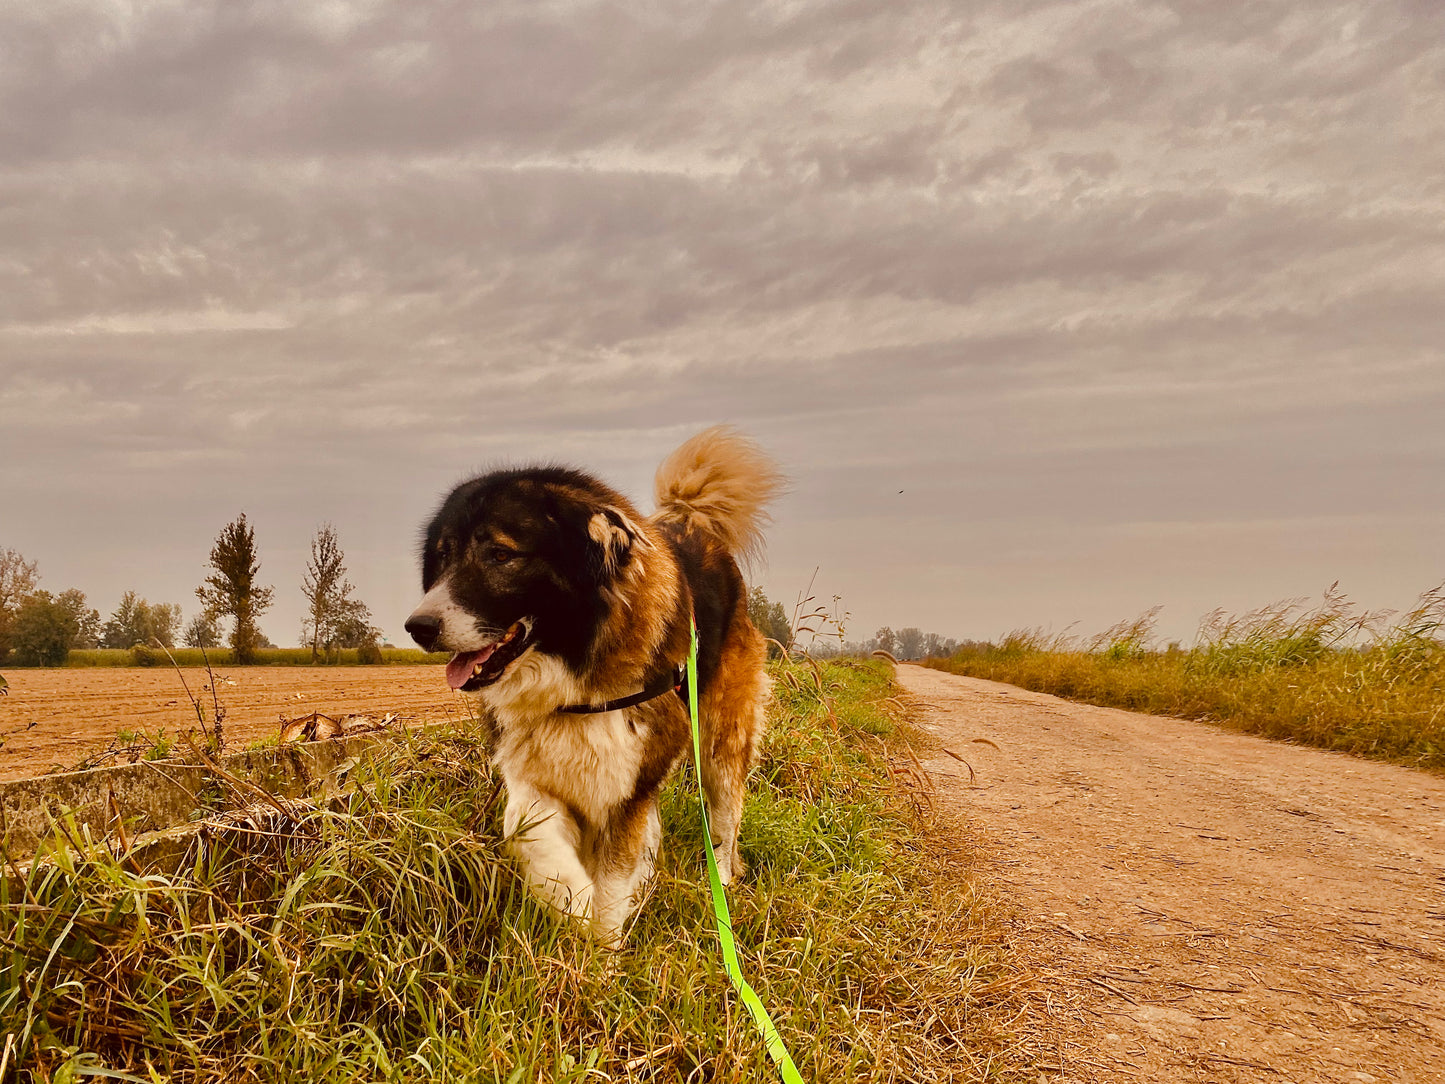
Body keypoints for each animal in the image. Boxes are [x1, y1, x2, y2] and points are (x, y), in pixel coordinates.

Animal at [401, 427, 786, 942]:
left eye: (501, 554)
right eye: (442, 557)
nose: (418, 627)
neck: (570, 677)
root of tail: (693, 525)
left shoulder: (628, 782)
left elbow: (613, 877)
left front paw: (601, 944)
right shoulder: (537, 768)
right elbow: (524, 824)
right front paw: (570, 897)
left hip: (722, 735)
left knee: (725, 810)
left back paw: (722, 877)